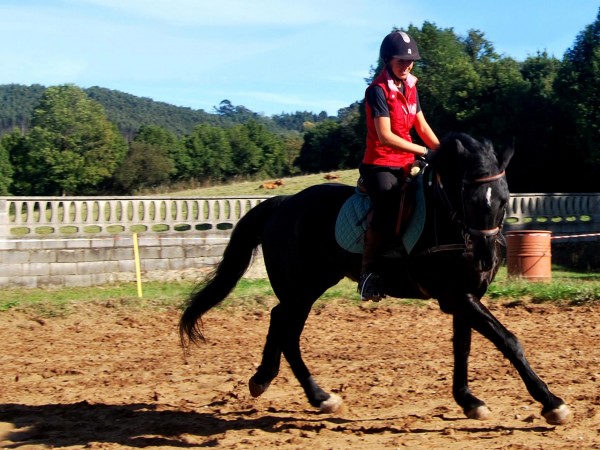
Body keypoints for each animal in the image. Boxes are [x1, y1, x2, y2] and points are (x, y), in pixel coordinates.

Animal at [179, 133, 572, 426]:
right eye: (469, 198)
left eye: (504, 200)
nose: (485, 258)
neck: (448, 219)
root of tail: (284, 202)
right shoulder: (457, 295)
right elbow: (509, 341)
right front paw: (552, 403)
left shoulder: (465, 295)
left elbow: (463, 346)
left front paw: (468, 401)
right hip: (302, 288)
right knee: (286, 329)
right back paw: (312, 394)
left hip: (310, 286)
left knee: (281, 322)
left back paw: (276, 383)